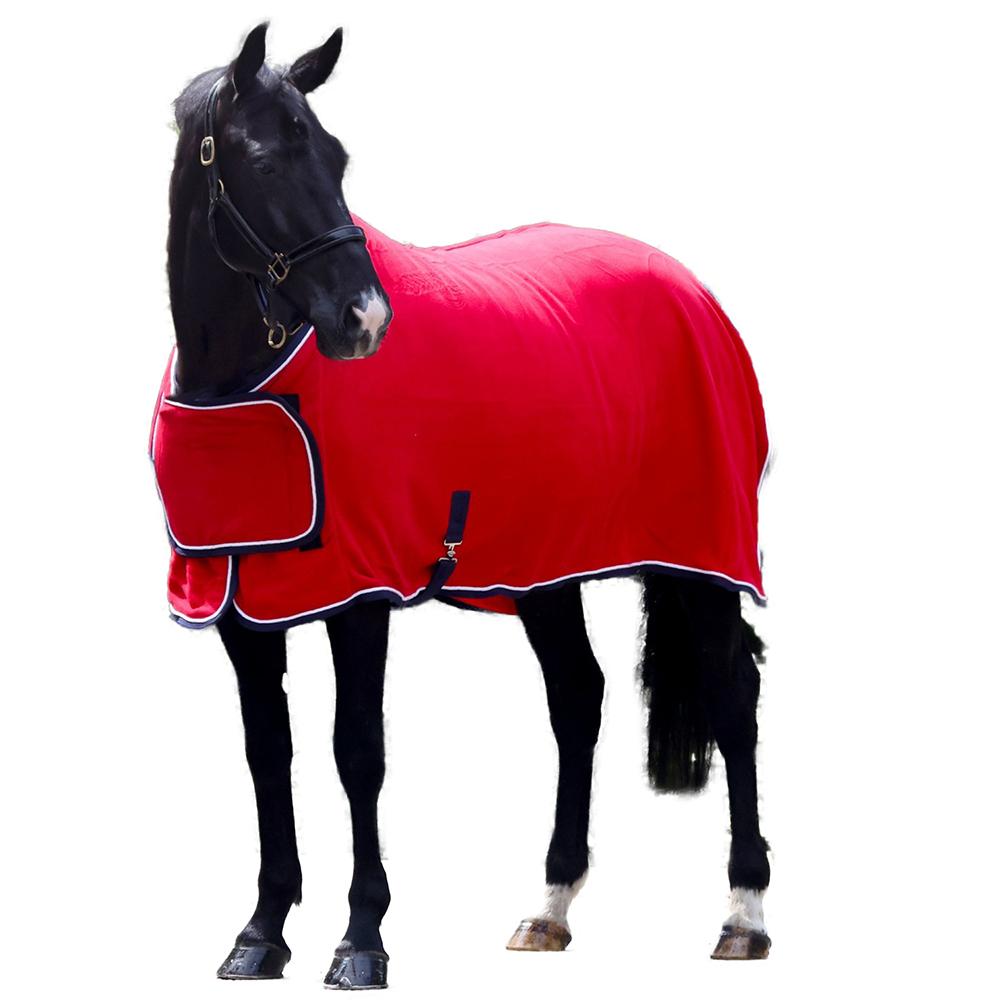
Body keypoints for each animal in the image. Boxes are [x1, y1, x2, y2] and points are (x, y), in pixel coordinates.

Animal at [157, 22, 772, 988]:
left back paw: (743, 916)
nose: (365, 320)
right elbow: (267, 754)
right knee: (579, 698)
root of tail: (689, 286)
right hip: (549, 565)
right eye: (261, 159)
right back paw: (549, 907)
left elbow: (356, 753)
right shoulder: (238, 603)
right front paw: (260, 933)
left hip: (701, 554)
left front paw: (360, 941)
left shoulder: (360, 594)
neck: (245, 385)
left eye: (335, 155)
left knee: (731, 697)